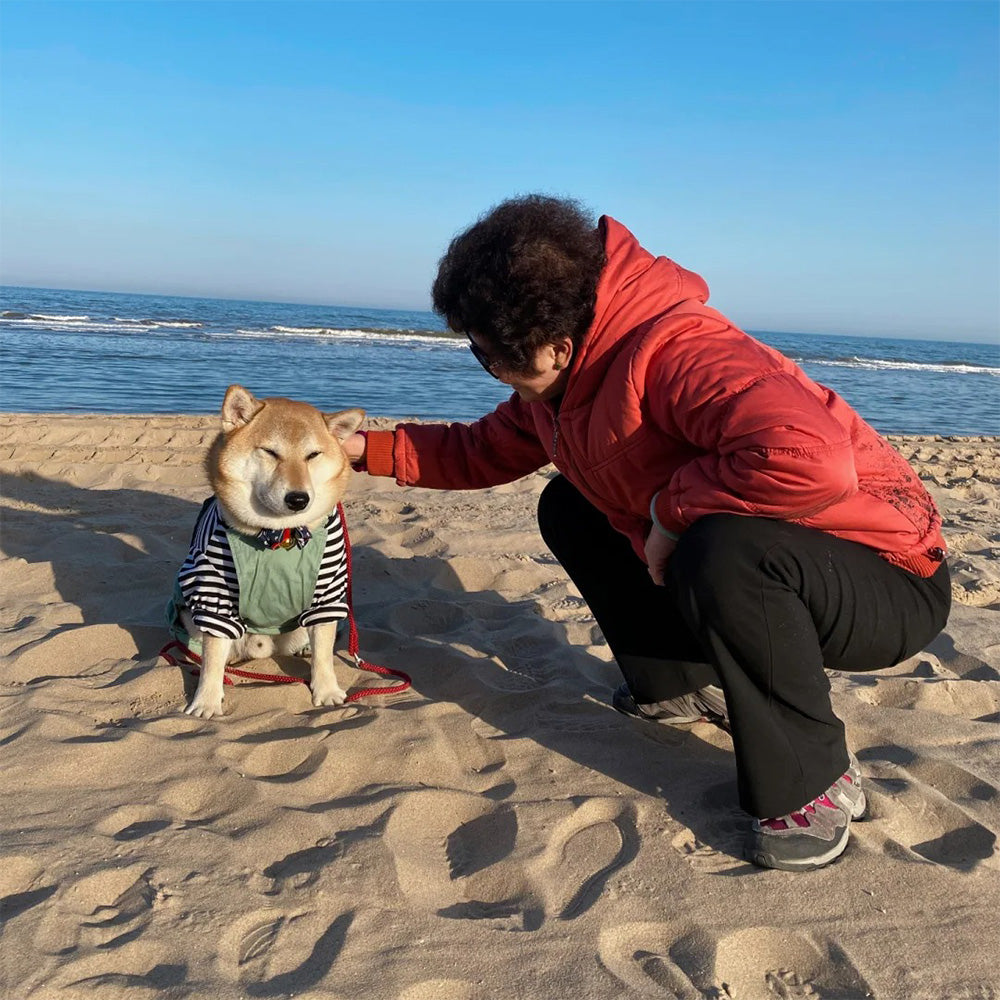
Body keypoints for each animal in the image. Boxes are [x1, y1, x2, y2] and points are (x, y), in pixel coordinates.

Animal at [170, 382, 366, 720]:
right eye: (271, 452)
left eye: (313, 455)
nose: (298, 499)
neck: (279, 537)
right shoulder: (214, 592)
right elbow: (212, 657)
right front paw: (206, 700)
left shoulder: (327, 591)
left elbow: (325, 653)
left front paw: (327, 691)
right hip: (189, 614)